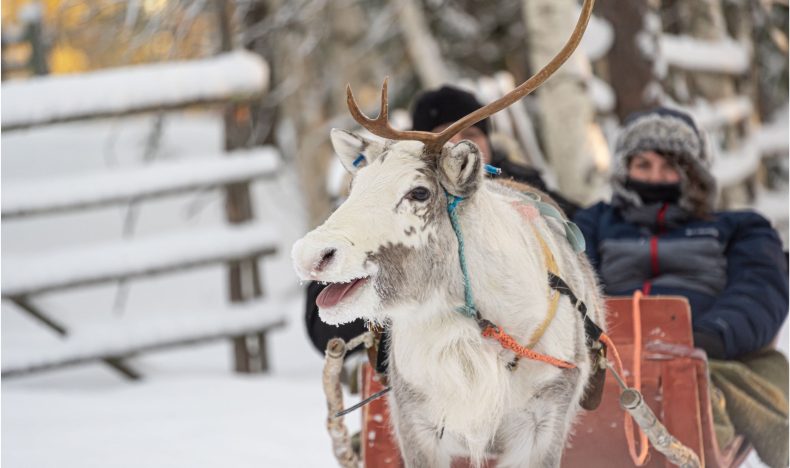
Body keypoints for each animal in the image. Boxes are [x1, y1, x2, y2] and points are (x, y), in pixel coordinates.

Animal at [292, 0, 607, 466]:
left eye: (419, 191)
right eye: (354, 185)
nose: (310, 255)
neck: (470, 329)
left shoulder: (542, 423)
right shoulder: (416, 422)